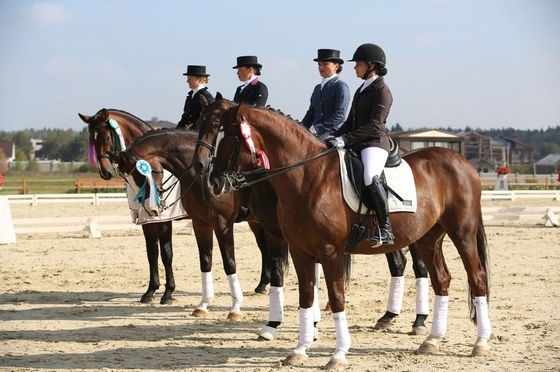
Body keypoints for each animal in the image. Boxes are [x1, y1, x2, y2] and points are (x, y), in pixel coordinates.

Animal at [192, 92, 428, 334]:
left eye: (226, 136)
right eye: (199, 124)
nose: (212, 180)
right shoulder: (284, 235)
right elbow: (289, 275)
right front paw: (287, 324)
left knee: (420, 267)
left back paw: (419, 320)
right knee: (399, 263)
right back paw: (388, 316)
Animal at [207, 103, 490, 370]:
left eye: (230, 139)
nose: (214, 183)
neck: (308, 177)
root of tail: (463, 161)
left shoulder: (329, 251)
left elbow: (337, 298)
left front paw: (338, 355)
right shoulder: (300, 251)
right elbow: (306, 297)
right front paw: (299, 350)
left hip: (462, 232)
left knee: (476, 276)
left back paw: (480, 343)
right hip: (429, 238)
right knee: (442, 279)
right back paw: (432, 340)